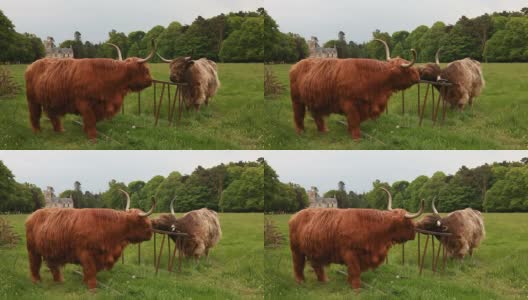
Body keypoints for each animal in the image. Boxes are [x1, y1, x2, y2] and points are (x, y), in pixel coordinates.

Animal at [24, 40, 156, 142]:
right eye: (145, 70)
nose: (150, 81)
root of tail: (32, 65)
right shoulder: (84, 103)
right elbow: (90, 120)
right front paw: (93, 138)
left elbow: (90, 120)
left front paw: (86, 131)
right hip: (32, 100)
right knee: (34, 114)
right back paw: (37, 132)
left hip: (50, 99)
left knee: (52, 115)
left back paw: (60, 130)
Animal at [288, 188, 424, 290]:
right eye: (408, 224)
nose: (414, 233)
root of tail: (295, 215)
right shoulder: (350, 253)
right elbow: (355, 271)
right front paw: (356, 288)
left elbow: (352, 271)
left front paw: (350, 283)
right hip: (296, 250)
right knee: (297, 264)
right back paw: (300, 281)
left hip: (315, 250)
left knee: (316, 265)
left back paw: (324, 280)